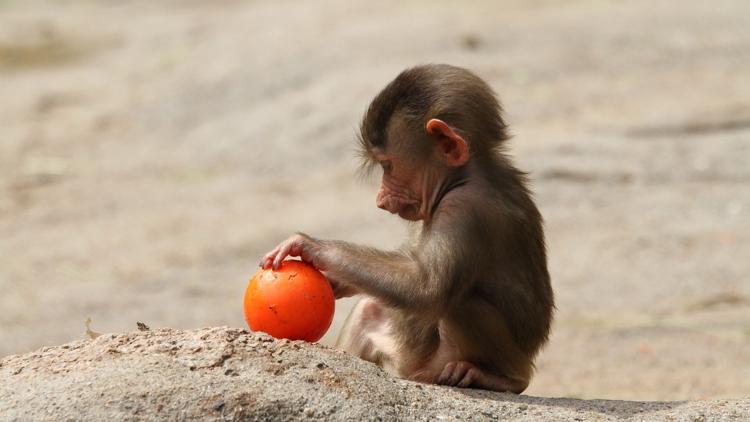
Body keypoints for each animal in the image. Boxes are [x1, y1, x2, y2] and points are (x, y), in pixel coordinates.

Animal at [262, 64, 552, 394]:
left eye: (387, 165)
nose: (379, 199)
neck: (465, 175)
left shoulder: (463, 209)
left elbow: (426, 286)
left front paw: (312, 246)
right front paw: (337, 280)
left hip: (444, 360)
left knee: (461, 303)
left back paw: (502, 377)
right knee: (369, 310)